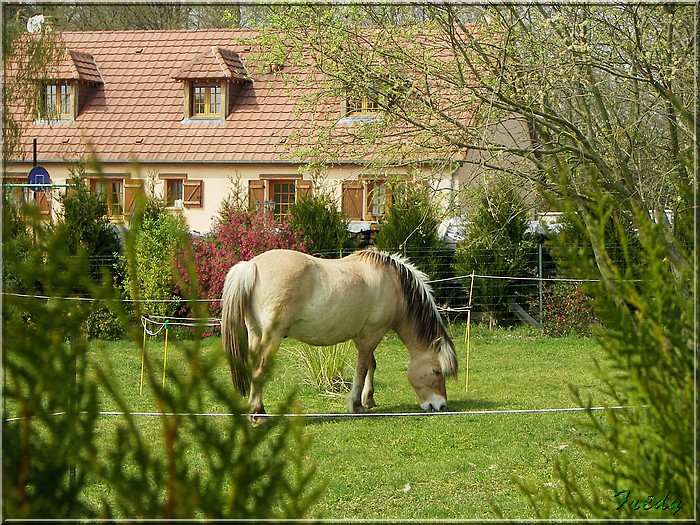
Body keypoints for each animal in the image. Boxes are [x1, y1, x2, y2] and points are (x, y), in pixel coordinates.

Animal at [221, 248, 456, 420]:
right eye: (436, 371)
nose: (440, 405)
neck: (393, 284)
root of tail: (252, 266)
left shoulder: (361, 335)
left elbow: (371, 365)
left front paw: (368, 400)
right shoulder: (372, 333)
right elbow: (362, 369)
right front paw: (356, 405)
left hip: (255, 333)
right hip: (272, 336)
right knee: (259, 370)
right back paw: (258, 413)